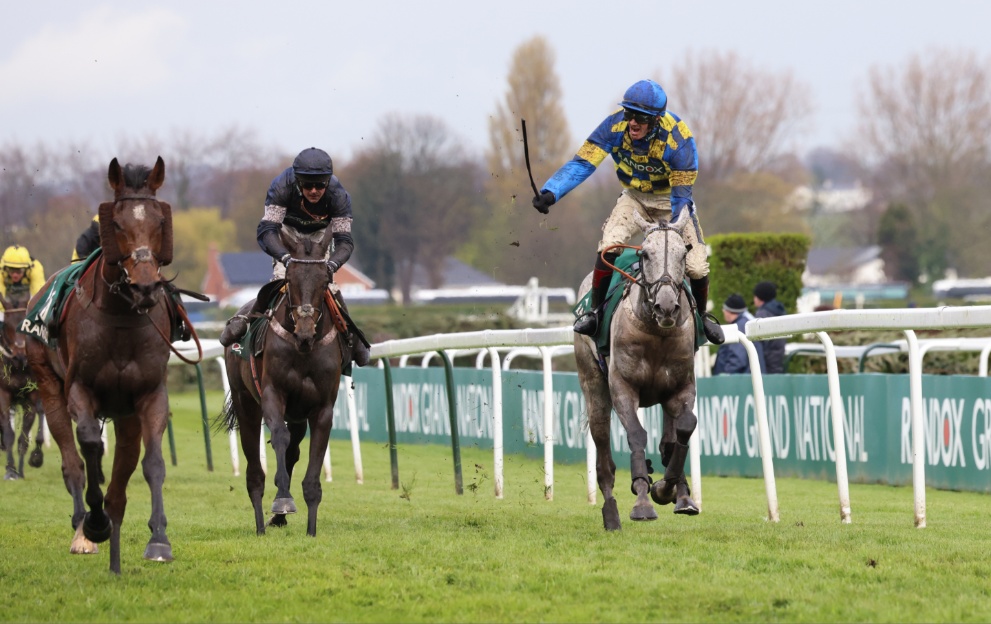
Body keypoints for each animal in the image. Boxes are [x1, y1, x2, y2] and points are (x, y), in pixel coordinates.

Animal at [25, 157, 180, 576]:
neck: (122, 318)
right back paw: (85, 527)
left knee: (123, 468)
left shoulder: (148, 394)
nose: (146, 287)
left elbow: (152, 463)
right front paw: (94, 524)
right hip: (48, 386)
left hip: (125, 413)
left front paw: (158, 539)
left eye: (160, 221)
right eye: (118, 224)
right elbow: (90, 445)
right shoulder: (80, 391)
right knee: (73, 460)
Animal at [221, 228, 348, 536]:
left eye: (324, 280)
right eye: (289, 279)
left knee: (293, 451)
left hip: (298, 414)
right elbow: (279, 436)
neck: (303, 351)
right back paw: (260, 522)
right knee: (255, 469)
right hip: (245, 402)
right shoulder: (272, 394)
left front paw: (311, 528)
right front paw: (282, 501)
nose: (304, 333)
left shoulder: (322, 408)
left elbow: (311, 466)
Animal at [576, 210, 700, 532]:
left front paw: (671, 490)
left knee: (669, 438)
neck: (657, 332)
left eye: (684, 254)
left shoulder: (681, 387)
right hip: (592, 383)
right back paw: (611, 512)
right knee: (603, 453)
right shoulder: (622, 386)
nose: (667, 307)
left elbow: (683, 429)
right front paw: (643, 500)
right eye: (645, 255)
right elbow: (636, 435)